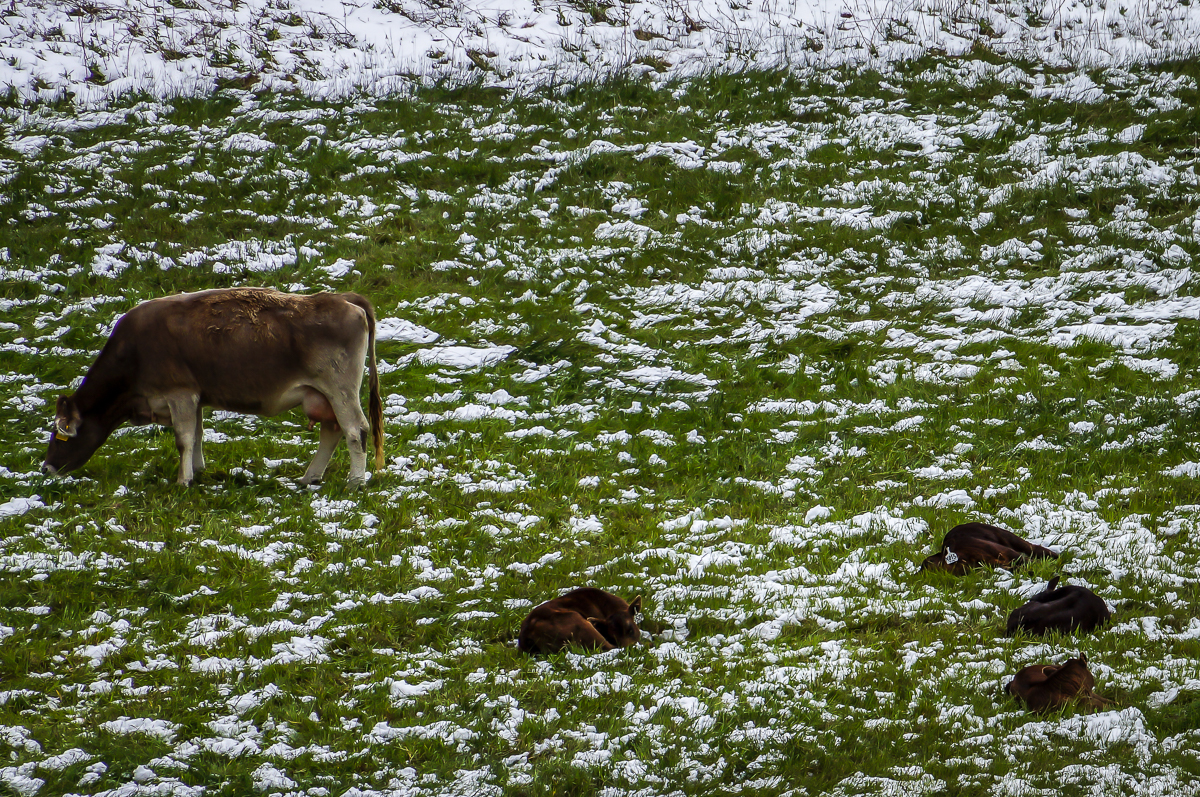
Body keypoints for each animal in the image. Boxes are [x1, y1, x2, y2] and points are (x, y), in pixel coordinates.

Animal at [42, 287, 384, 487]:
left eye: (60, 436)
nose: (45, 468)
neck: (134, 352)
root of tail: (342, 298)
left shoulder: (179, 394)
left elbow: (183, 439)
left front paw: (183, 481)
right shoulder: (195, 397)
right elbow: (196, 434)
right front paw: (197, 470)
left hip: (339, 389)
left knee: (356, 430)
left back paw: (355, 481)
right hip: (323, 394)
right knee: (333, 430)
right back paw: (309, 477)